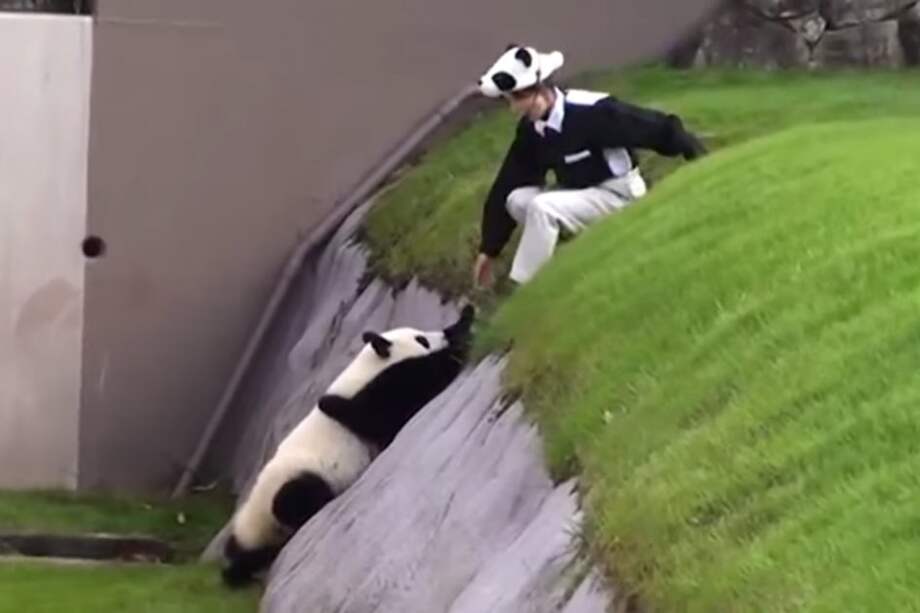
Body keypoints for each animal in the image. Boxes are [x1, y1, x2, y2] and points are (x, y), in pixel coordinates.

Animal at [221, 305, 475, 587]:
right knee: (293, 500)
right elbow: (412, 393)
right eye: (421, 340)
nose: (439, 337)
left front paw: (464, 320)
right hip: (295, 481)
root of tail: (256, 530)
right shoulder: (369, 401)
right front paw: (457, 348)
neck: (363, 371)